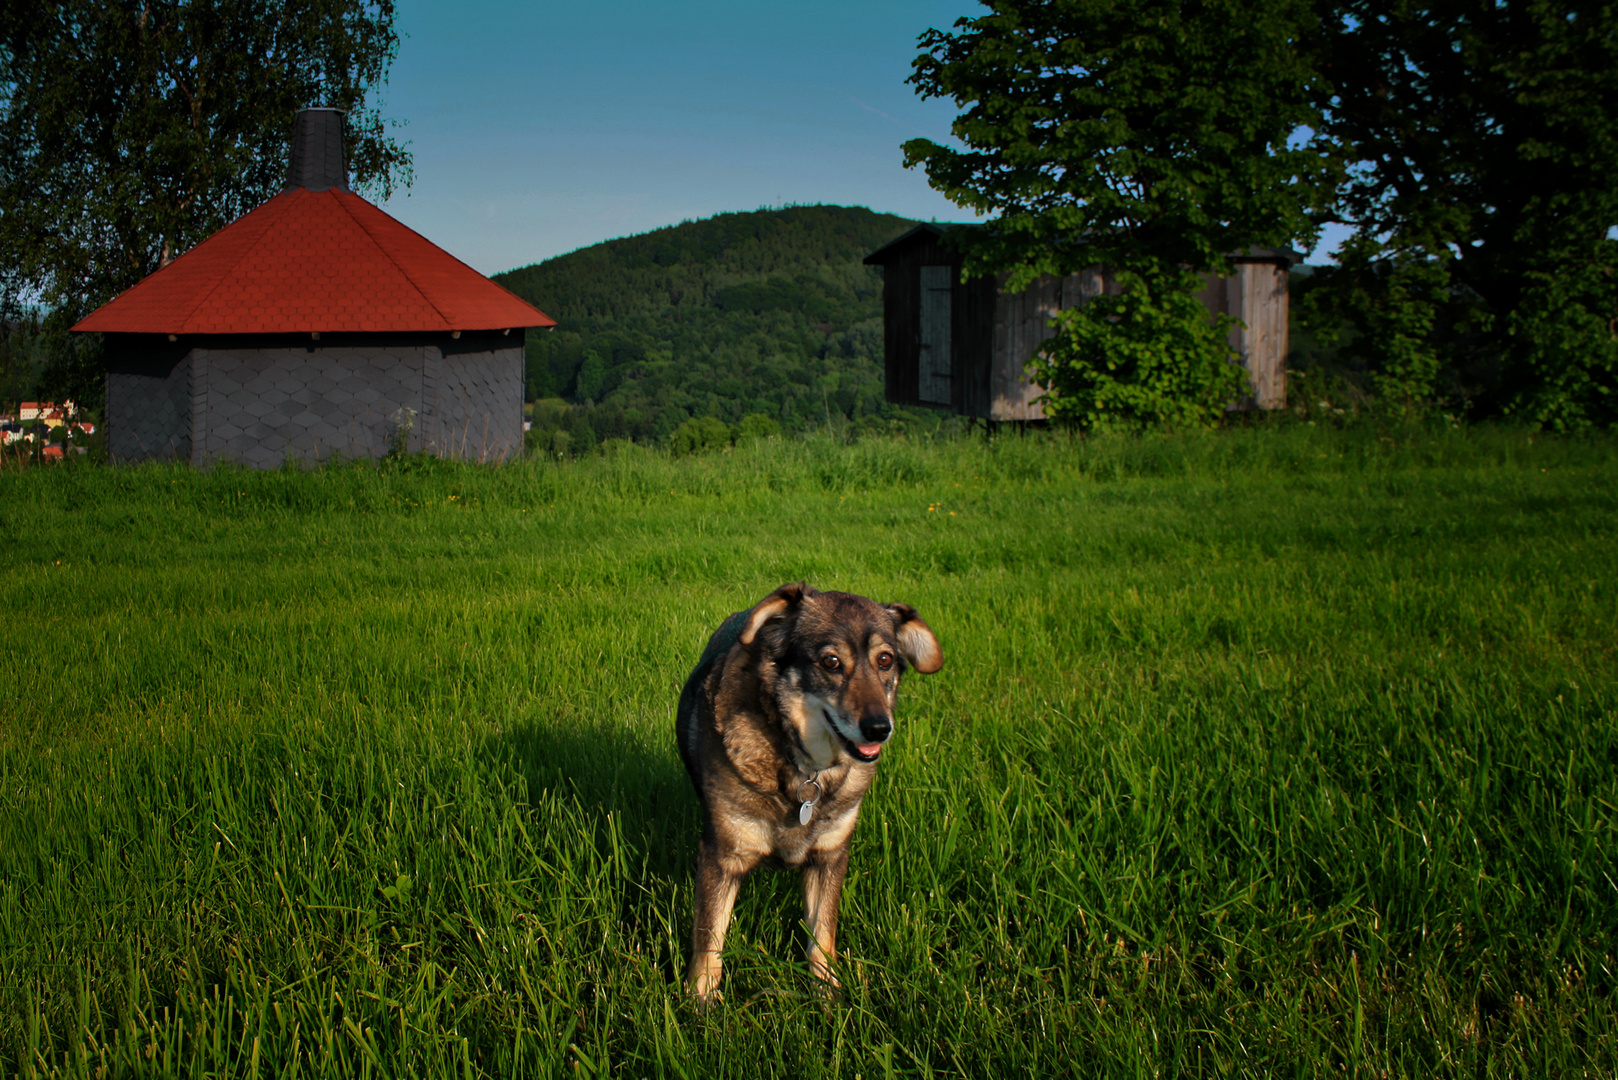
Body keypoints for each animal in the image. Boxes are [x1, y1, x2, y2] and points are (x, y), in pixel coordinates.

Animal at [676, 586, 944, 1003]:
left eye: (885, 660)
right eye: (831, 662)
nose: (879, 728)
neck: (805, 770)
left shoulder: (829, 856)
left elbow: (822, 934)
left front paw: (828, 996)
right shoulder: (723, 856)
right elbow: (709, 938)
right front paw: (701, 1002)